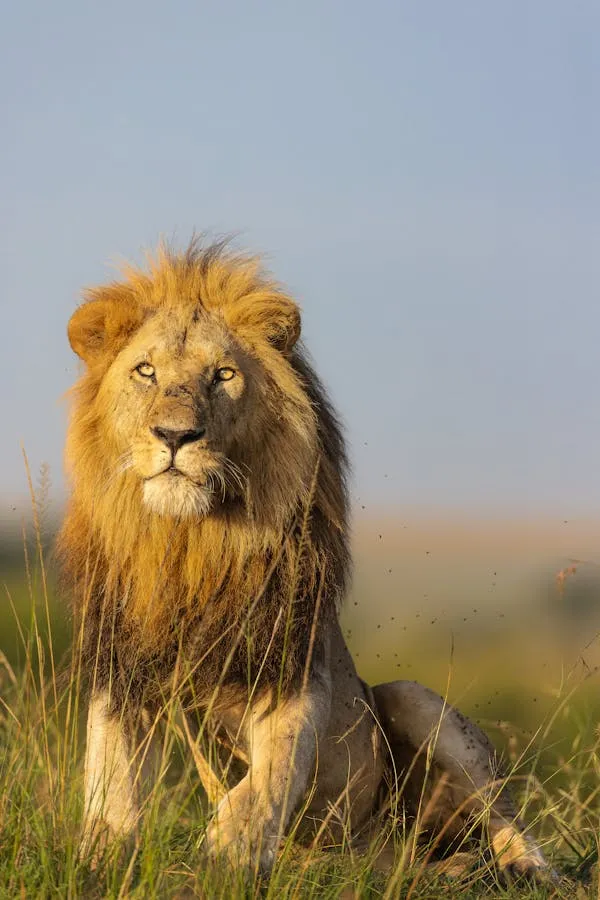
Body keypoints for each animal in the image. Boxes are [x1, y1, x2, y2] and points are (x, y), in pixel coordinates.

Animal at [59, 239, 550, 880]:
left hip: (412, 700)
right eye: (146, 371)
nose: (175, 436)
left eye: (222, 375)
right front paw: (96, 858)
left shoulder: (294, 664)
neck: (191, 544)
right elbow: (111, 777)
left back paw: (528, 872)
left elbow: (268, 778)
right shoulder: (122, 666)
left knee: (509, 822)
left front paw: (232, 851)